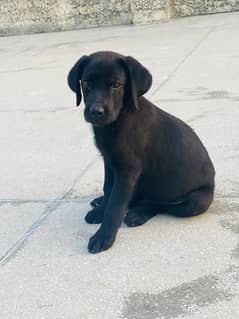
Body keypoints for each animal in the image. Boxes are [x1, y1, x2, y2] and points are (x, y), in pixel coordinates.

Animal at [67, 50, 215, 255]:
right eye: (87, 83)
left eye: (116, 85)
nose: (96, 111)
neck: (119, 119)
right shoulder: (109, 162)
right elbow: (108, 189)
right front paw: (100, 210)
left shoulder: (127, 170)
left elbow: (115, 204)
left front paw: (104, 236)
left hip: (197, 201)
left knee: (163, 205)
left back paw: (138, 214)